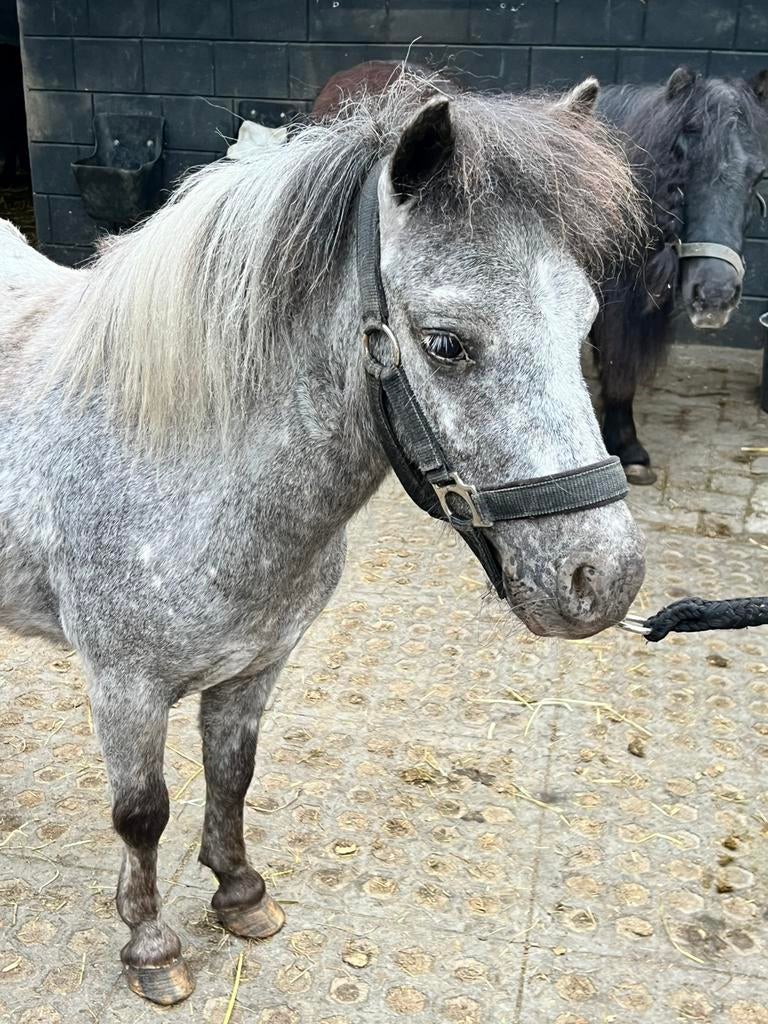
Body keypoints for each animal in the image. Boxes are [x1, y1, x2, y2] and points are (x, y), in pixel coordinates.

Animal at [0, 74, 645, 1004]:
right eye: (445, 344)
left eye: (585, 319)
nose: (605, 577)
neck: (177, 455)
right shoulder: (124, 686)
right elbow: (142, 814)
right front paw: (151, 946)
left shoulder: (256, 669)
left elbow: (232, 777)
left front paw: (240, 895)